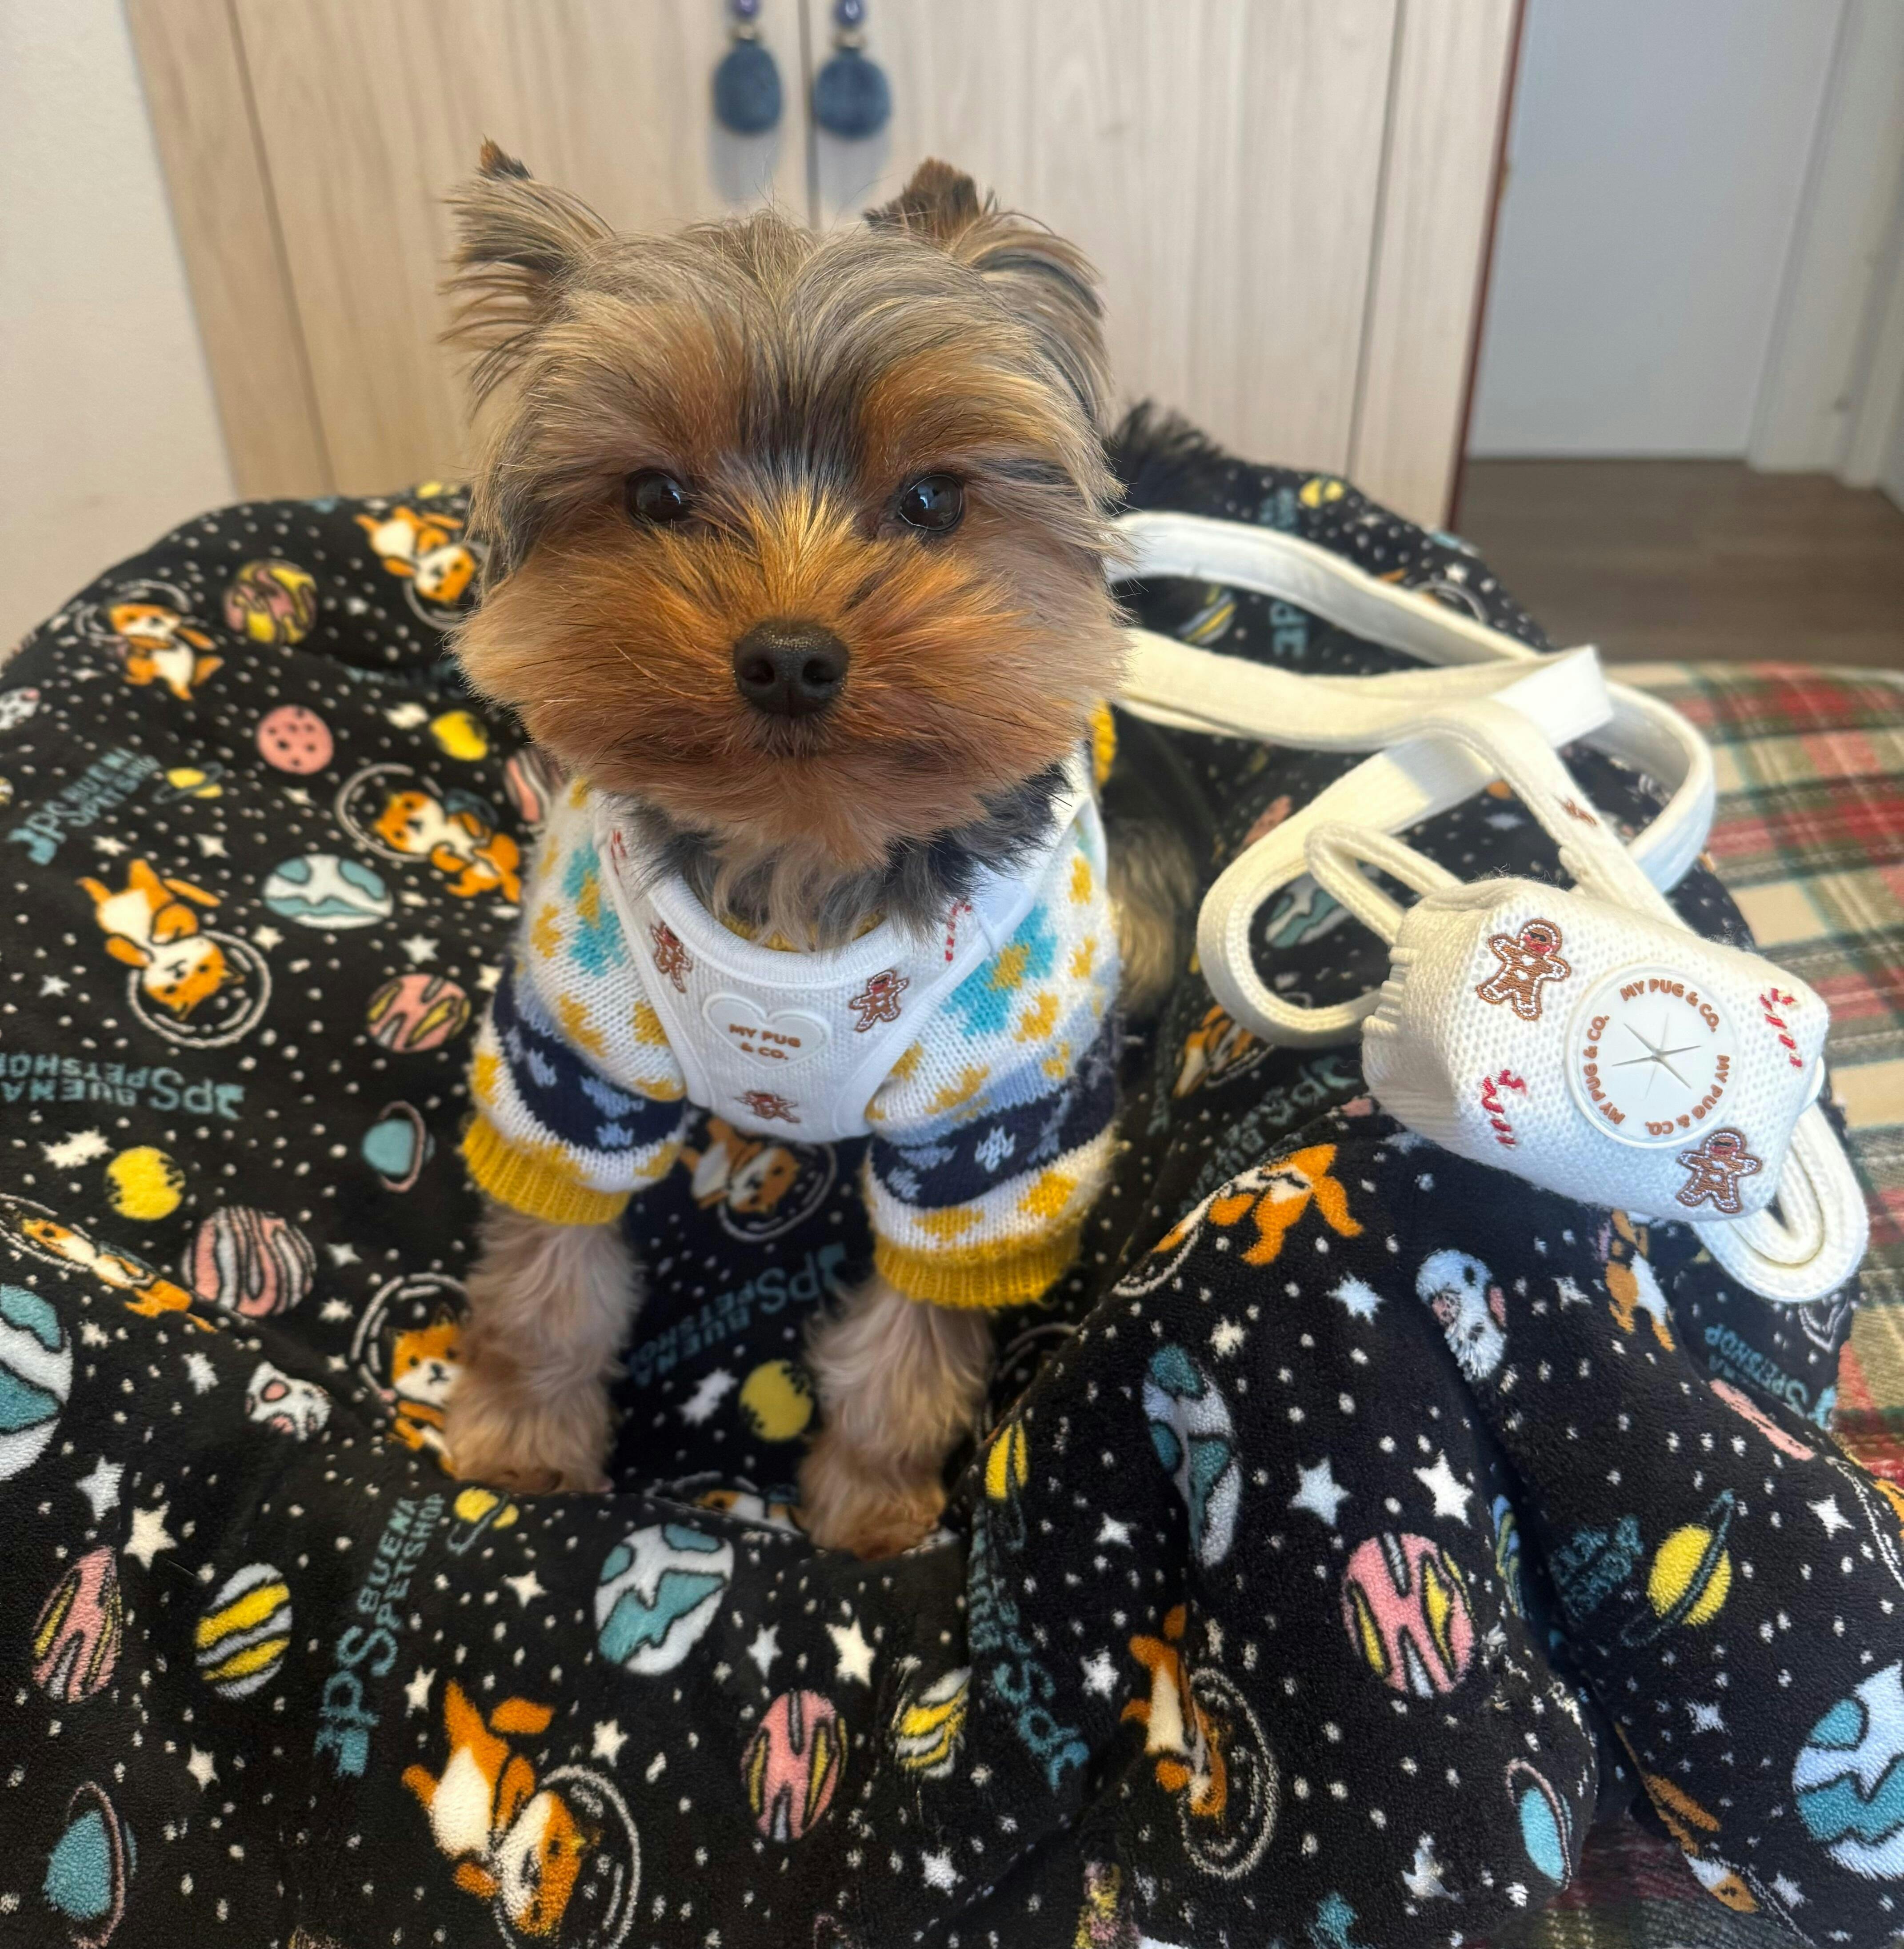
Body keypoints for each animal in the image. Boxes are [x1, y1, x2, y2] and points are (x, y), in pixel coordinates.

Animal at [440, 143, 1190, 1556]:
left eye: (933, 499)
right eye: (658, 496)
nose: (790, 654)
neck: (802, 862)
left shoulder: (988, 1139)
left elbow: (909, 1347)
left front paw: (872, 1511)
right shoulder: (578, 1061)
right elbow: (551, 1274)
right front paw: (518, 1445)